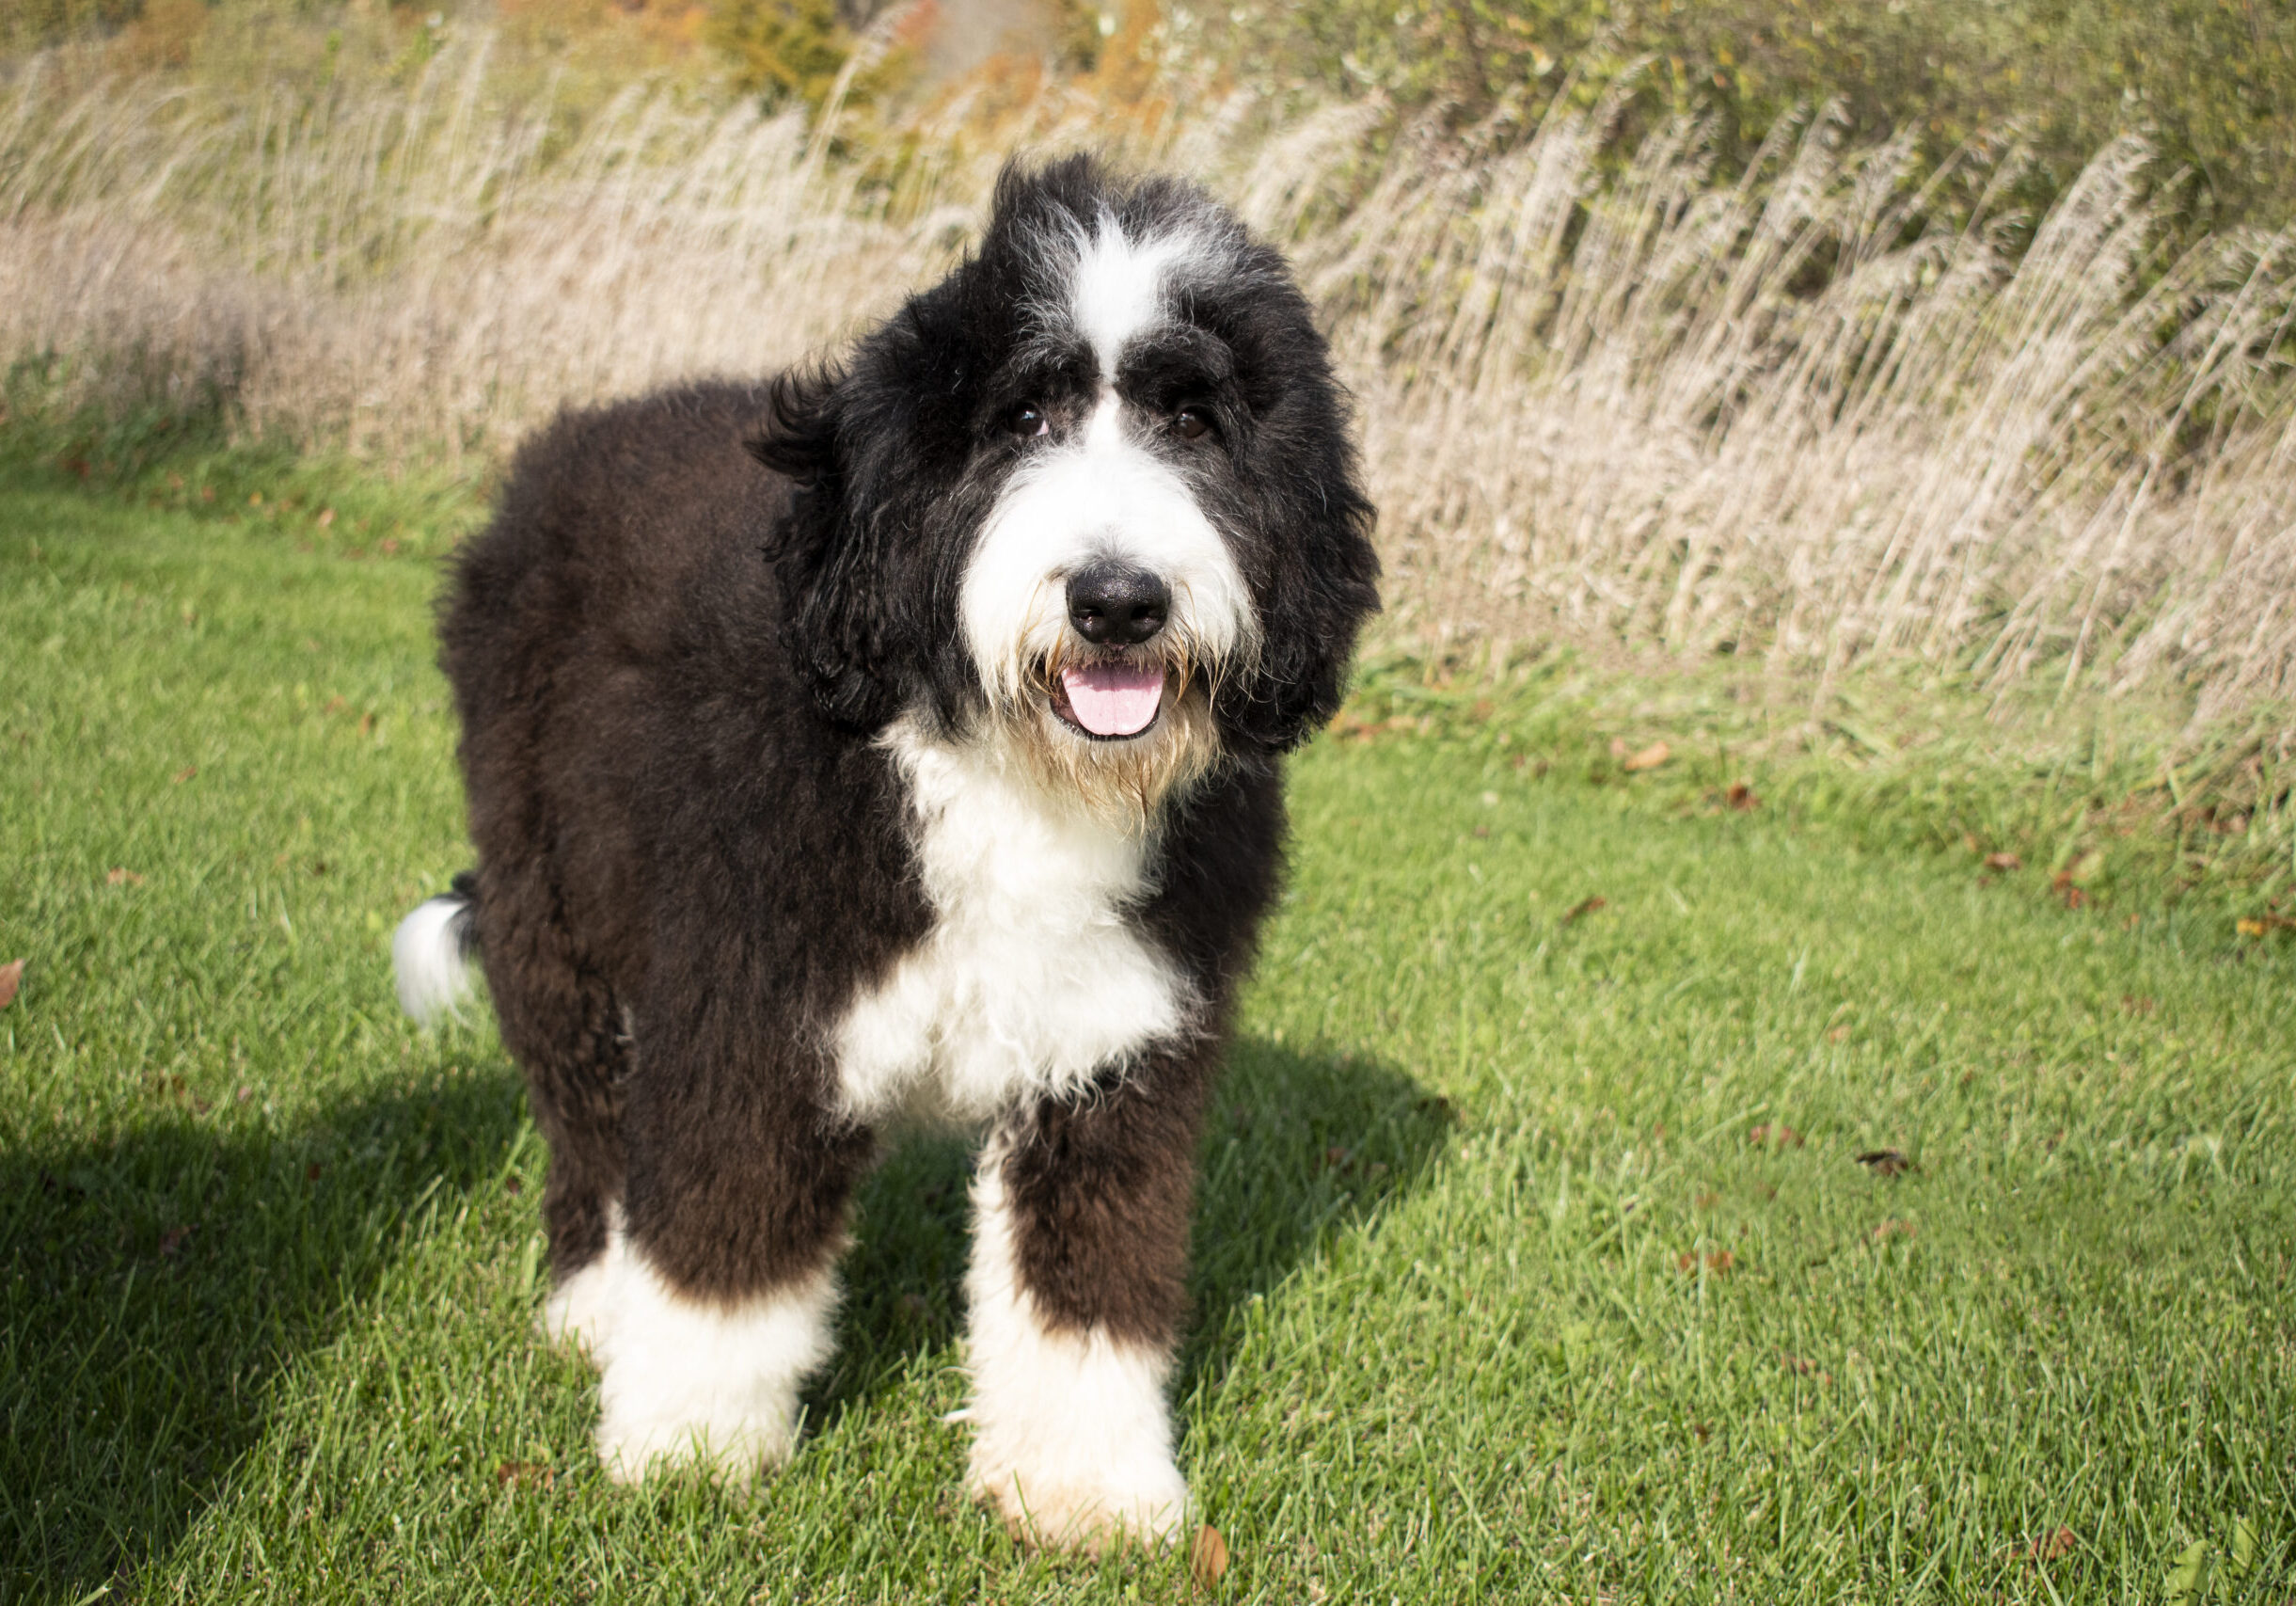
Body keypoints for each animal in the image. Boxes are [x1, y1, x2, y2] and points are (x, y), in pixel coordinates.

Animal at [389, 157, 1377, 1552]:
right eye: (1023, 415)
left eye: (1193, 422)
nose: (1117, 600)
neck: (1011, 771)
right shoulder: (753, 1012)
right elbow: (726, 1249)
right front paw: (687, 1449)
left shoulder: (1113, 1050)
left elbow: (1084, 1283)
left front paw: (1080, 1485)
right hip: (548, 903)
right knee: (584, 1112)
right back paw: (593, 1302)